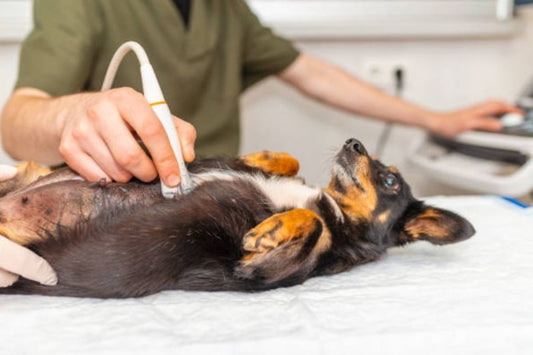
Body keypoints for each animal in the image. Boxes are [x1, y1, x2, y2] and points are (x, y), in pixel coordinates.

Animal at [0, 138, 474, 298]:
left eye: (390, 179)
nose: (353, 142)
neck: (335, 207)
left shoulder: (254, 273)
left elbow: (313, 225)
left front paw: (267, 231)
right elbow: (289, 161)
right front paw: (261, 158)